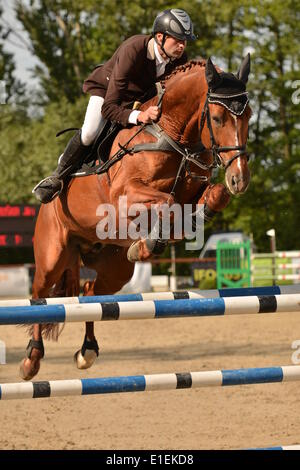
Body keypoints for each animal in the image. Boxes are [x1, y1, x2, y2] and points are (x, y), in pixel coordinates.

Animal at [19, 55, 252, 380]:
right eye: (217, 119)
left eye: (249, 116)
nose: (239, 179)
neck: (172, 134)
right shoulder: (124, 195)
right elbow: (167, 202)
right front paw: (150, 242)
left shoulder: (196, 188)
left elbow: (215, 196)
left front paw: (188, 223)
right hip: (52, 255)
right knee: (39, 296)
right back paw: (32, 359)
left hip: (114, 269)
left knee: (92, 294)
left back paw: (87, 351)